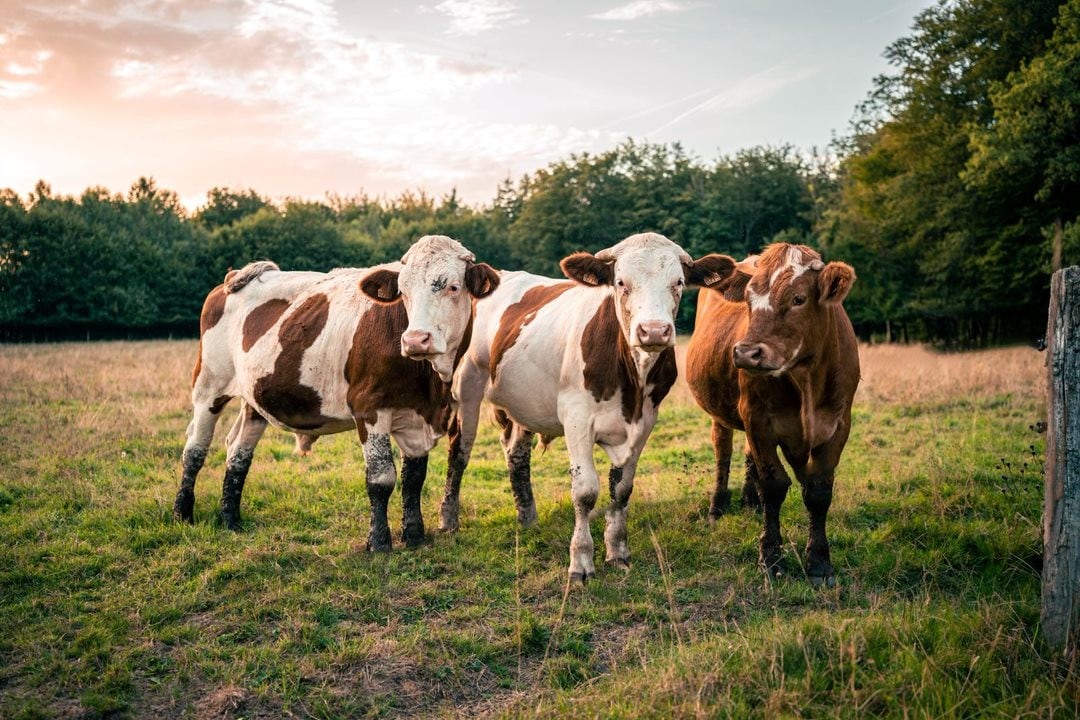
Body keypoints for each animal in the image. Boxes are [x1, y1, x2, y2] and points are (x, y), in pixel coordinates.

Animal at [173, 234, 501, 548]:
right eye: (403, 291)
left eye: (454, 287)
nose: (415, 340)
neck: (429, 382)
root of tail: (233, 279)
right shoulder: (369, 408)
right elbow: (381, 478)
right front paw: (379, 542)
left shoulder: (420, 416)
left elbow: (414, 479)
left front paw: (415, 536)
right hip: (209, 386)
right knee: (196, 448)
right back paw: (182, 513)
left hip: (256, 397)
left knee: (238, 452)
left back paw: (230, 519)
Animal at [436, 234, 734, 582]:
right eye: (621, 282)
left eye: (679, 282)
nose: (654, 331)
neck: (631, 381)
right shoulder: (576, 418)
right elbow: (585, 491)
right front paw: (581, 561)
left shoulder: (645, 422)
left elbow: (622, 490)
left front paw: (618, 552)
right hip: (465, 388)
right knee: (459, 451)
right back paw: (448, 519)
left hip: (523, 401)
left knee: (516, 453)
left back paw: (527, 517)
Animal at [682, 241, 859, 587]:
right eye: (749, 300)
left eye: (798, 298)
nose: (746, 353)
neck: (806, 379)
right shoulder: (759, 421)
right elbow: (774, 486)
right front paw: (771, 558)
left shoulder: (838, 425)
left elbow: (818, 491)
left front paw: (819, 562)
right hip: (721, 415)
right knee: (724, 452)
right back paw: (717, 508)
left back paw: (750, 501)